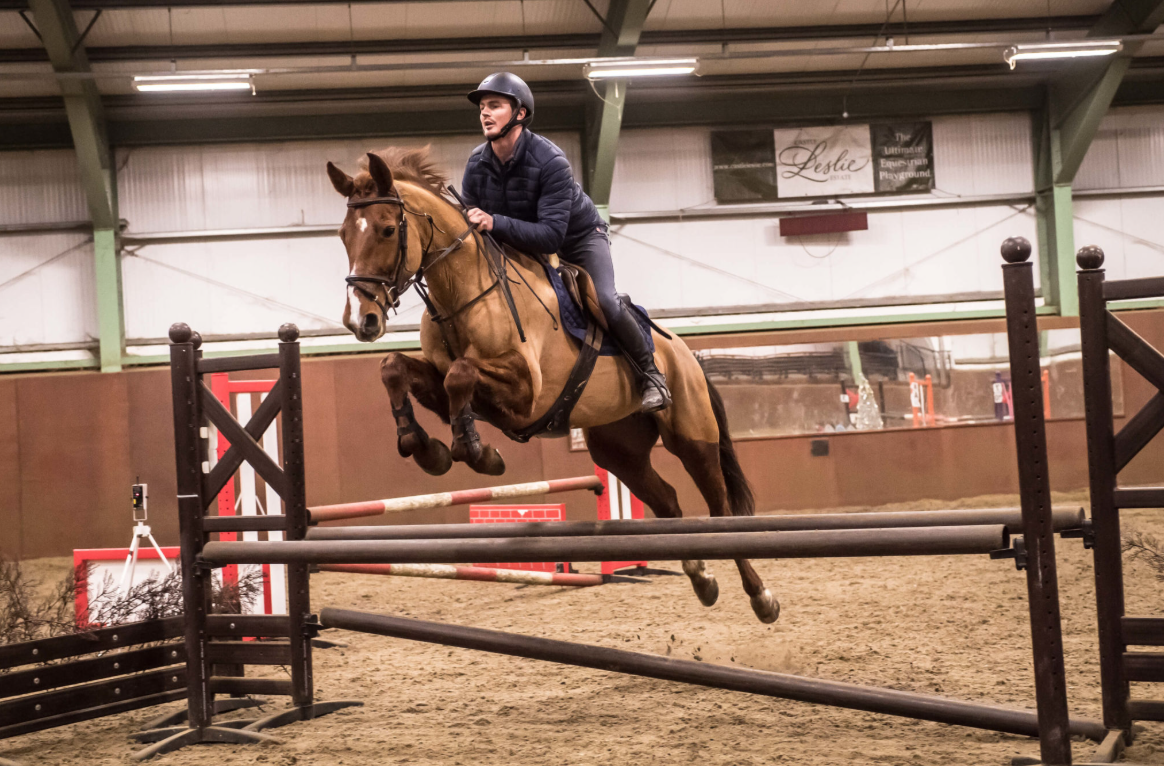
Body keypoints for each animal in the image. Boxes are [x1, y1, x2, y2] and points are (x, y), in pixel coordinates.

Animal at [325, 147, 780, 624]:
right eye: (343, 235)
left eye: (387, 229)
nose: (360, 321)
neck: (464, 294)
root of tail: (684, 352)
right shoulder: (452, 379)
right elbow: (397, 368)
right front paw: (427, 448)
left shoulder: (525, 392)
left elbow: (460, 375)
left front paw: (474, 450)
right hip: (618, 450)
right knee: (669, 502)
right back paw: (701, 578)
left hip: (692, 437)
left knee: (720, 508)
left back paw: (761, 597)